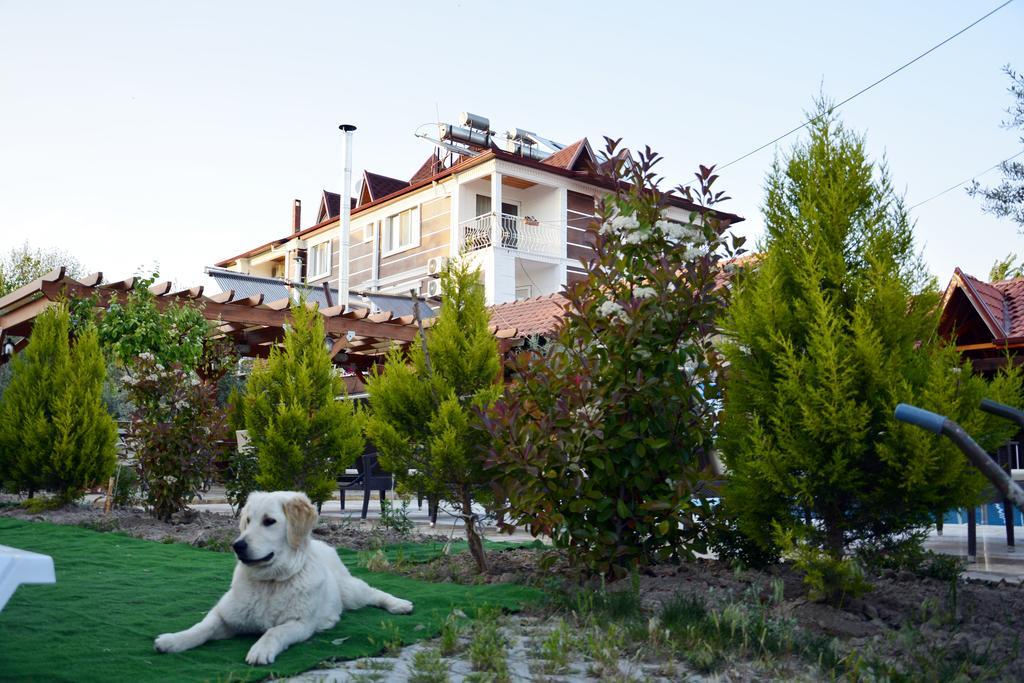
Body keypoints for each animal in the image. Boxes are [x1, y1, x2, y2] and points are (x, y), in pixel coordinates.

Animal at [151, 493, 411, 663]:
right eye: (247, 521)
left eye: (269, 521)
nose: (237, 546)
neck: (270, 584)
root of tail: (322, 544)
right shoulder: (225, 616)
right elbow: (201, 627)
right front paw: (174, 640)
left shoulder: (300, 624)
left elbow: (273, 631)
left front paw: (260, 650)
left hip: (350, 592)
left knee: (374, 592)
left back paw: (399, 604)